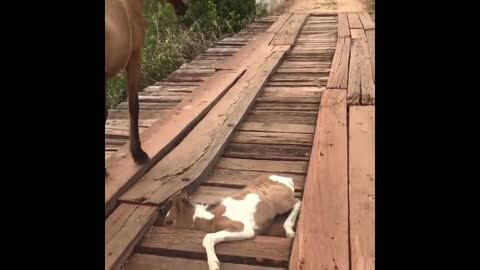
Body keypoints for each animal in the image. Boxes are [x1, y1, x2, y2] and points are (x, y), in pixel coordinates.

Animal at [164, 175, 300, 270]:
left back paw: (289, 231)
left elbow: (208, 237)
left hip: (280, 203)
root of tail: (287, 180)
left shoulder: (243, 228)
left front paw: (214, 265)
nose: (163, 224)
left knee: (297, 202)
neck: (212, 218)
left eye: (169, 221)